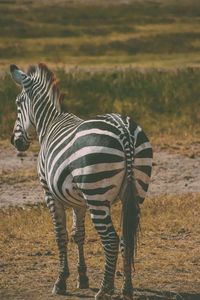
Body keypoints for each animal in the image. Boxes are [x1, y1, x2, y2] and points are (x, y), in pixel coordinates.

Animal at [10, 63, 152, 300]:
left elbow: (61, 235)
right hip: (135, 194)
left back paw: (105, 289)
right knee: (126, 238)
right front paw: (82, 278)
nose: (15, 142)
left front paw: (60, 281)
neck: (50, 123)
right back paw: (126, 289)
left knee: (111, 239)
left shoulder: (50, 193)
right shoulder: (79, 201)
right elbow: (78, 235)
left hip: (96, 195)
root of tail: (124, 131)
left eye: (18, 103)